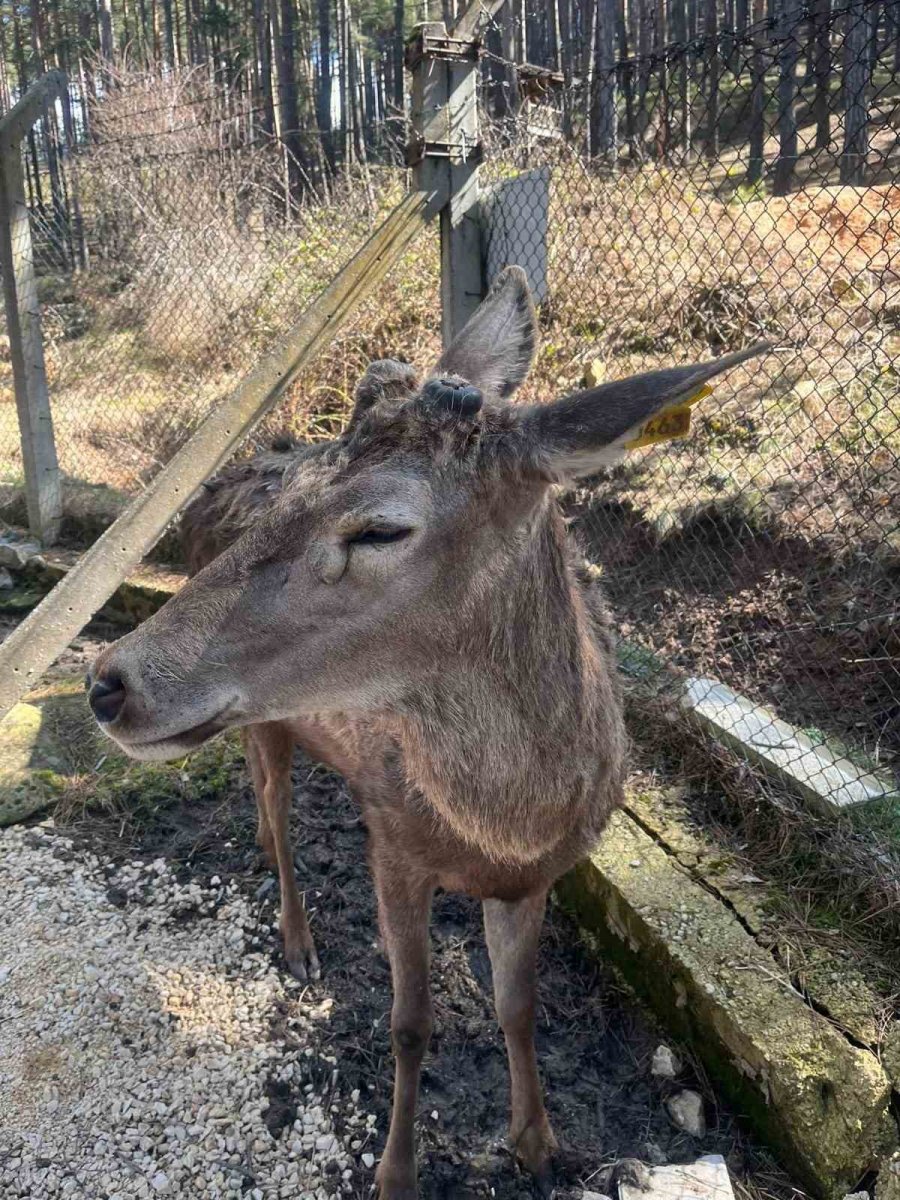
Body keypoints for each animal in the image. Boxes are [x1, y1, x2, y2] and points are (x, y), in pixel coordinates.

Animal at [90, 272, 768, 1200]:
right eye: (292, 496)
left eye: (380, 527)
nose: (108, 682)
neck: (505, 824)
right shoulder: (395, 844)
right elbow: (410, 1021)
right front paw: (396, 1171)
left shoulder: (535, 878)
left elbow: (517, 1004)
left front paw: (537, 1143)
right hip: (264, 721)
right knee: (277, 807)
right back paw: (297, 941)